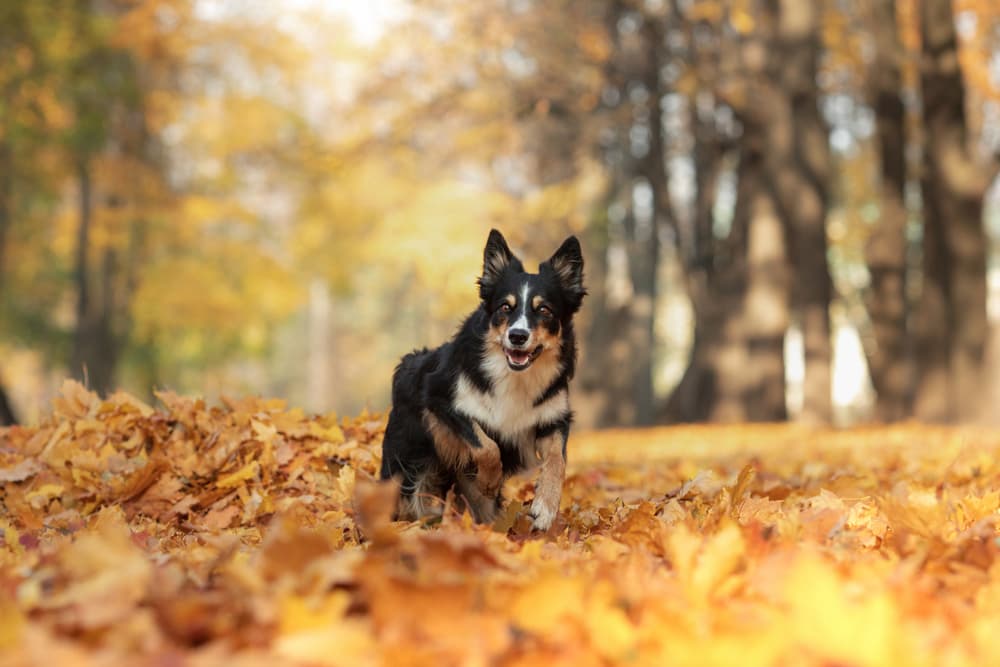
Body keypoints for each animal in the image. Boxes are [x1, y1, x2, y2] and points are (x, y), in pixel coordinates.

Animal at [376, 230, 584, 532]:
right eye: (505, 307)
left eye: (544, 310)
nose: (517, 336)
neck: (514, 375)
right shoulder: (440, 401)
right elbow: (486, 445)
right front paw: (489, 480)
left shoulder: (552, 419)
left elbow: (557, 460)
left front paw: (545, 507)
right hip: (404, 466)